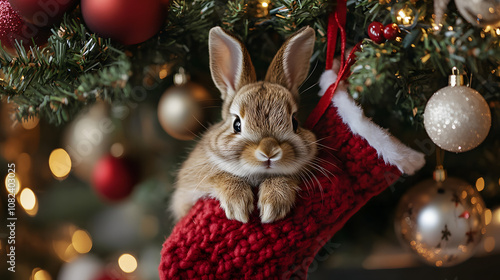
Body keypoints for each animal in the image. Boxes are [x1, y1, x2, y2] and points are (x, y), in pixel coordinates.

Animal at [171, 26, 316, 223]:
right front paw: (238, 206)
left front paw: (273, 204)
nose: (269, 152)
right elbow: (219, 176)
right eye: (237, 124)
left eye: (294, 122)